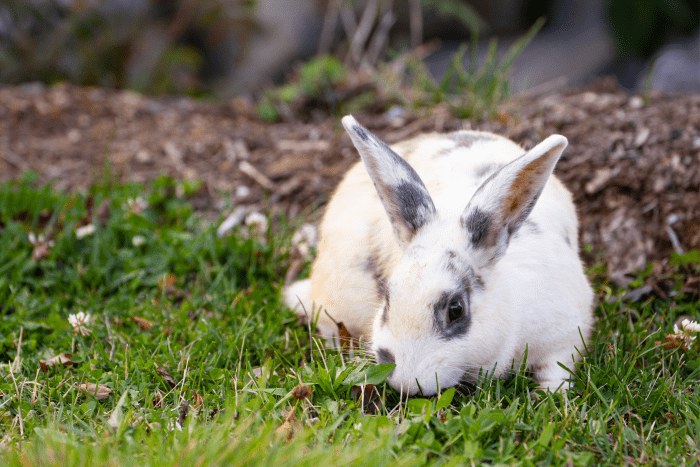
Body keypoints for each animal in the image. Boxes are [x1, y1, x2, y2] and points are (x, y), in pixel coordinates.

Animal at [282, 115, 592, 396]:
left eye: (456, 310)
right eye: (387, 299)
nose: (408, 383)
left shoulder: (564, 335)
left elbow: (556, 370)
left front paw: (549, 397)